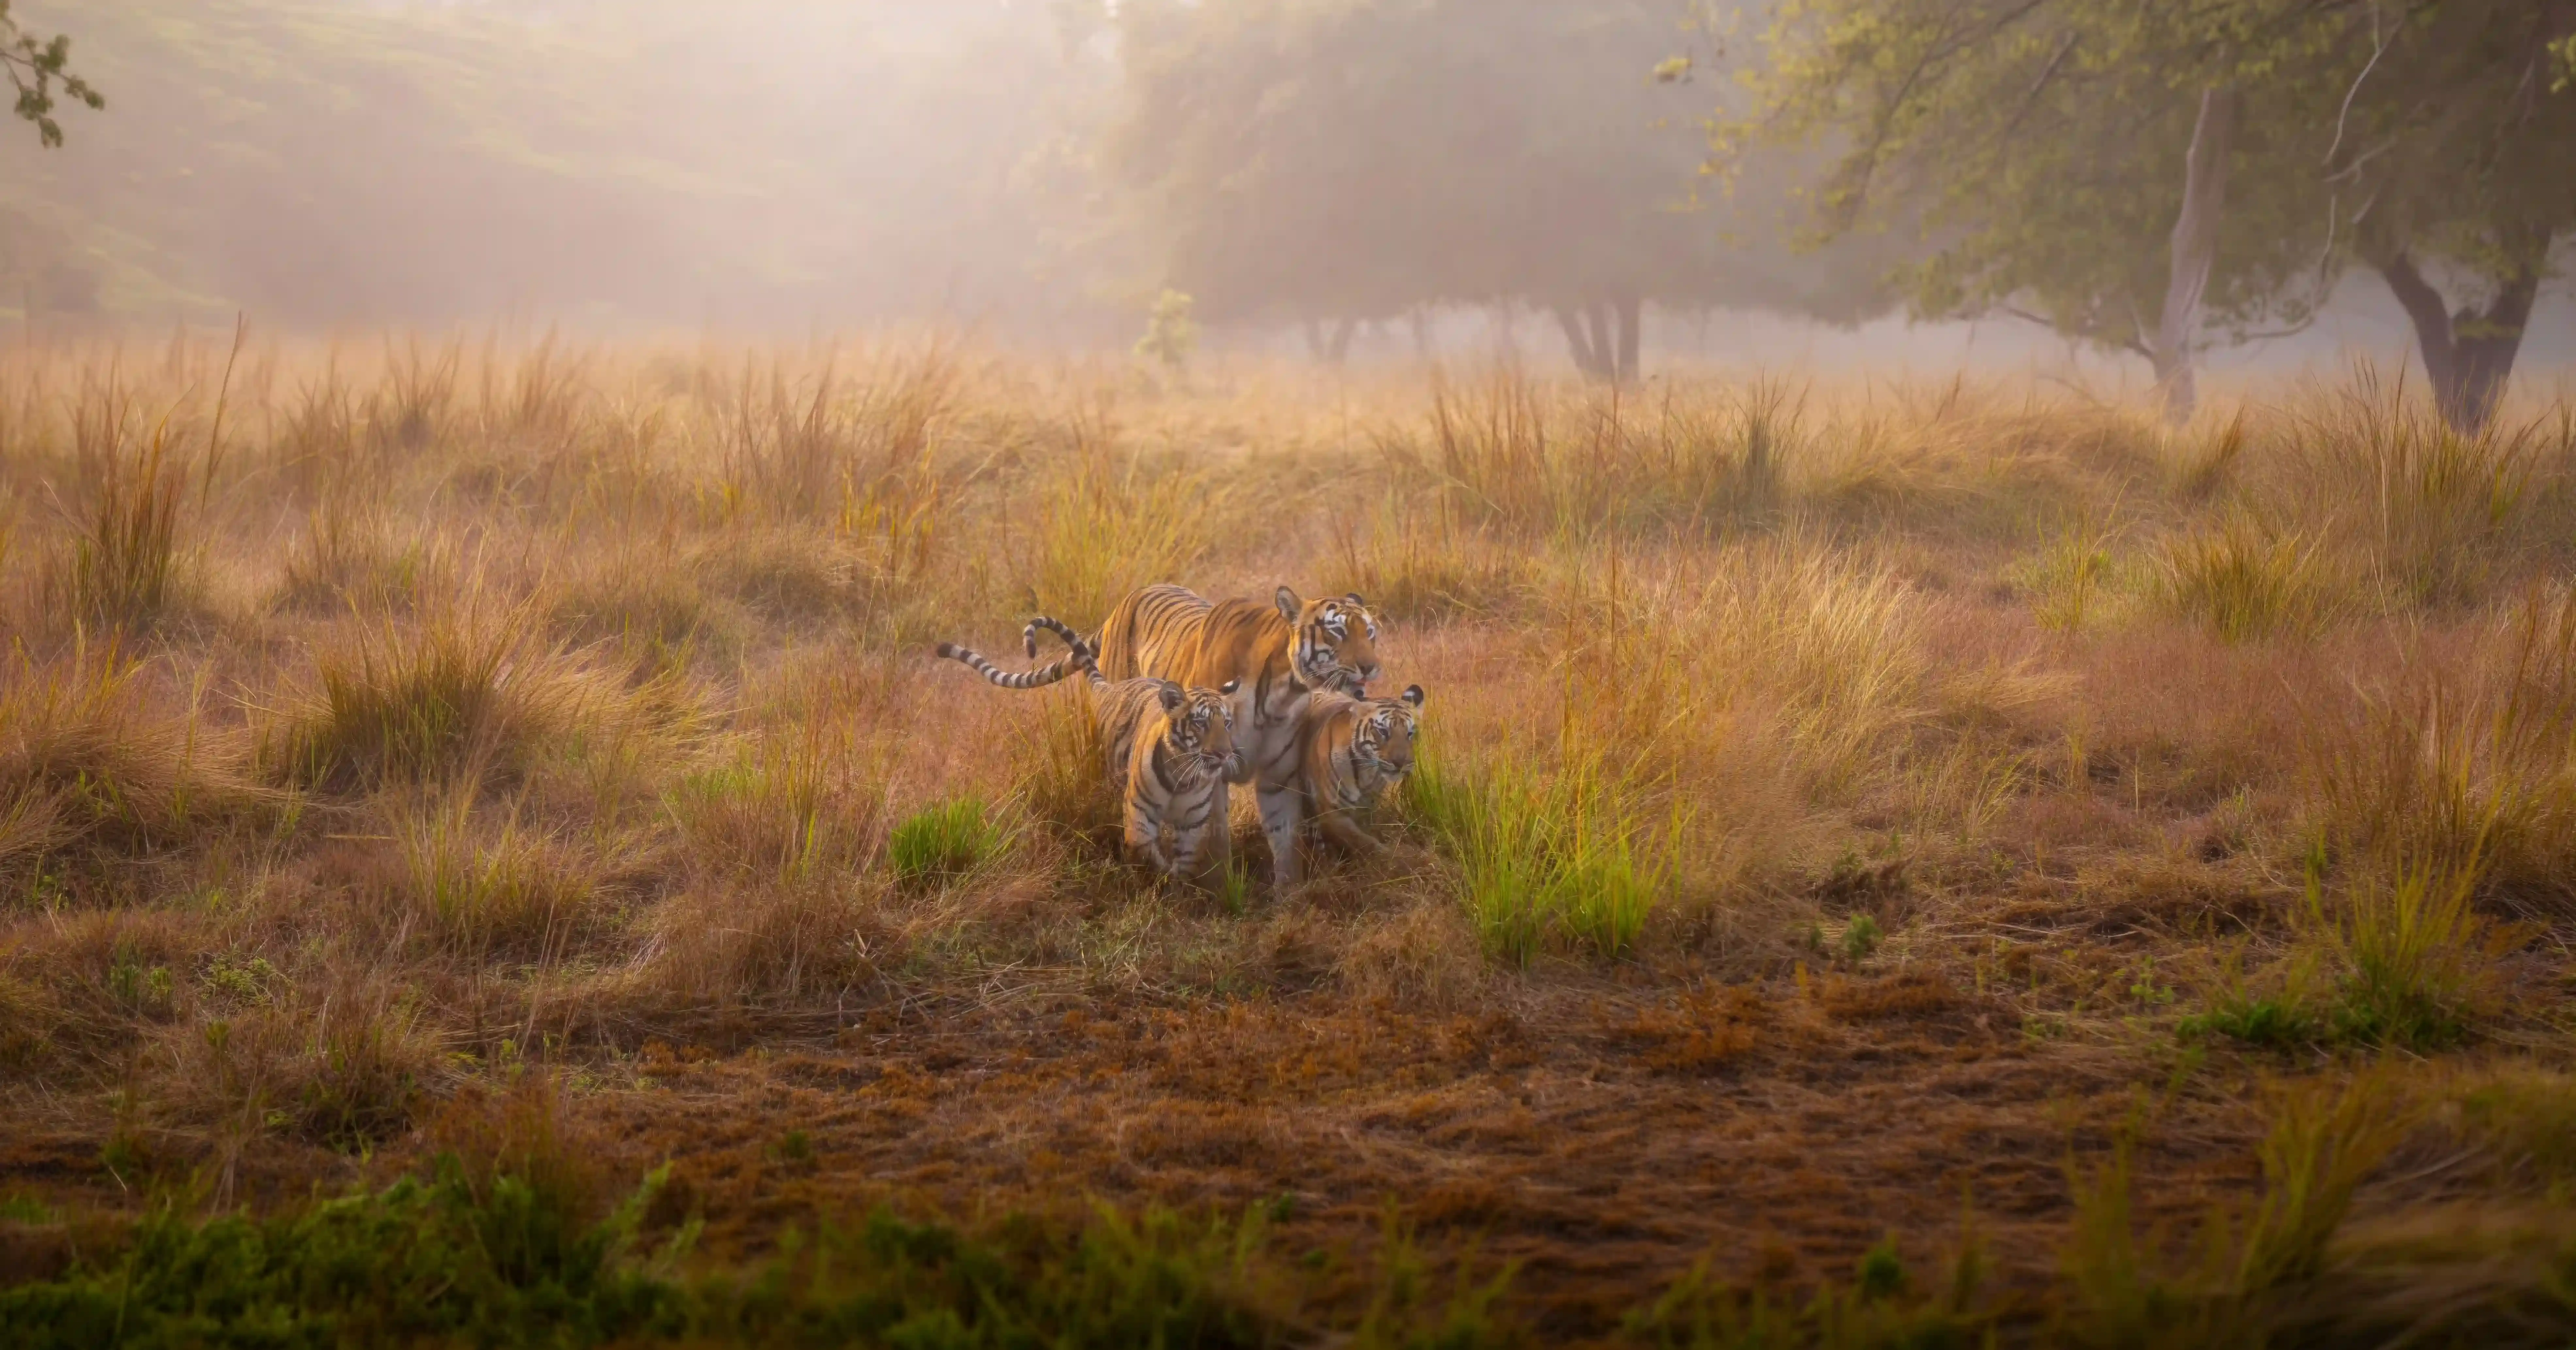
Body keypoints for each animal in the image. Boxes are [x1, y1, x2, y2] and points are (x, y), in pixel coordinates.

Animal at [933, 633, 1239, 884]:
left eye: (1227, 724)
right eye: (1201, 723)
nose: (1224, 753)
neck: (1182, 776)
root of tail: (1111, 687)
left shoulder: (1195, 823)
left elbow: (1188, 862)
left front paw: (1178, 886)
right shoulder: (1138, 808)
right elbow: (1143, 847)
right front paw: (1160, 873)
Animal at [1009, 585, 1385, 888]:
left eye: (1369, 632)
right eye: (1337, 632)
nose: (1371, 668)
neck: (1283, 692)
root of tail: (1127, 600)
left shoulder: (1278, 776)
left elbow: (1285, 838)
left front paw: (1288, 896)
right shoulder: (1210, 773)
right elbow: (1214, 838)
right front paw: (1220, 891)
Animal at [1292, 684, 1425, 863]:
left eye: (1410, 733)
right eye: (1383, 732)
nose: (1401, 763)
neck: (1366, 773)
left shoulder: (1369, 809)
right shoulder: (1332, 812)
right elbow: (1364, 842)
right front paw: (1398, 860)